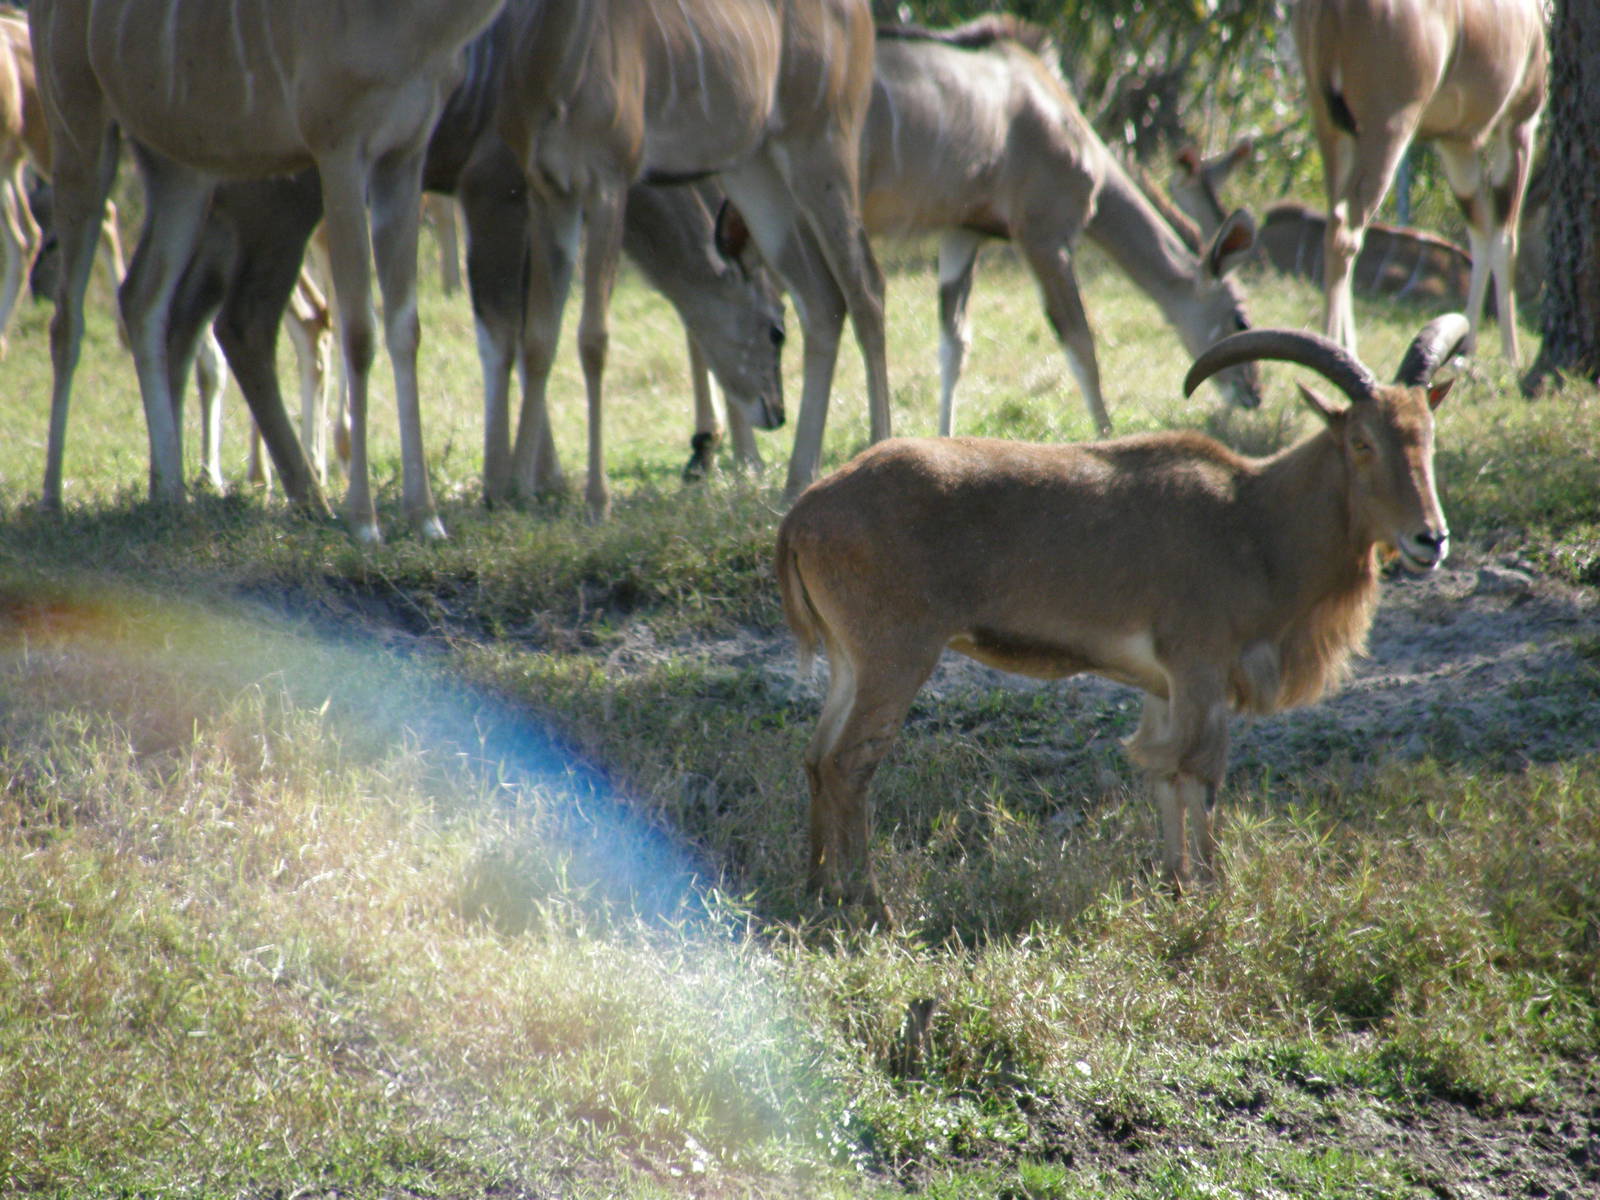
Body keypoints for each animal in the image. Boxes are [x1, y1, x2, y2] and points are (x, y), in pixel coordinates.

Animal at [776, 314, 1467, 918]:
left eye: (1429, 440)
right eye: (1361, 442)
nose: (1430, 539)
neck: (1253, 520)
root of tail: (804, 512)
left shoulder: (1163, 686)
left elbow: (1163, 774)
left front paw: (1176, 884)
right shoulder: (1199, 669)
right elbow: (1200, 774)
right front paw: (1215, 894)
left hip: (849, 661)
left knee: (814, 757)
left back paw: (816, 888)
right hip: (896, 656)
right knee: (849, 764)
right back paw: (870, 902)